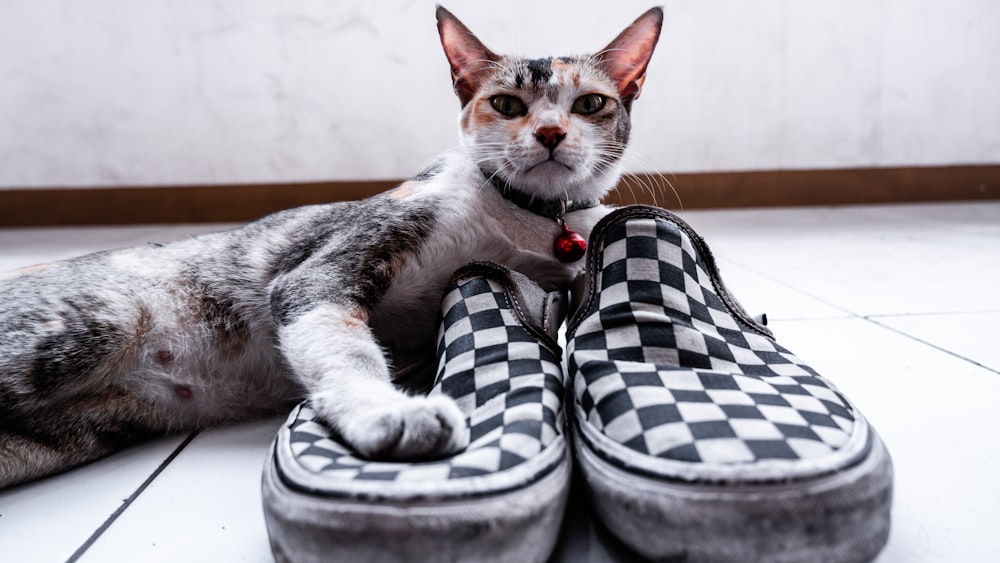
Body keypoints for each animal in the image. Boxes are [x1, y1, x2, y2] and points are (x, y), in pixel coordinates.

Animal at [1, 5, 664, 490]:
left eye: (591, 103)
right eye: (505, 103)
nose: (550, 132)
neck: (527, 218)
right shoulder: (336, 261)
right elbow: (343, 342)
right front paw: (389, 414)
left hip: (57, 435)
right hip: (91, 327)